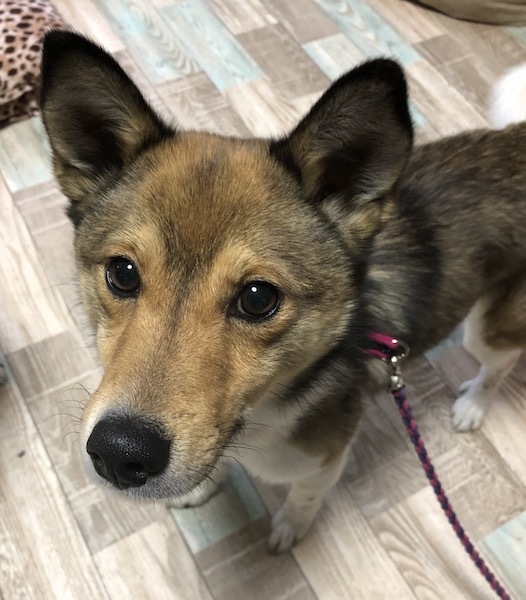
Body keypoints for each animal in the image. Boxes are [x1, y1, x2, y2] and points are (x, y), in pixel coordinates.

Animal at [40, 30, 526, 553]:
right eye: (122, 273)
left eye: (258, 298)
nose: (119, 452)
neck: (261, 411)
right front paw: (200, 489)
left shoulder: (324, 459)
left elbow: (303, 498)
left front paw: (290, 530)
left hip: (489, 328)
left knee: (499, 363)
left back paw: (473, 406)